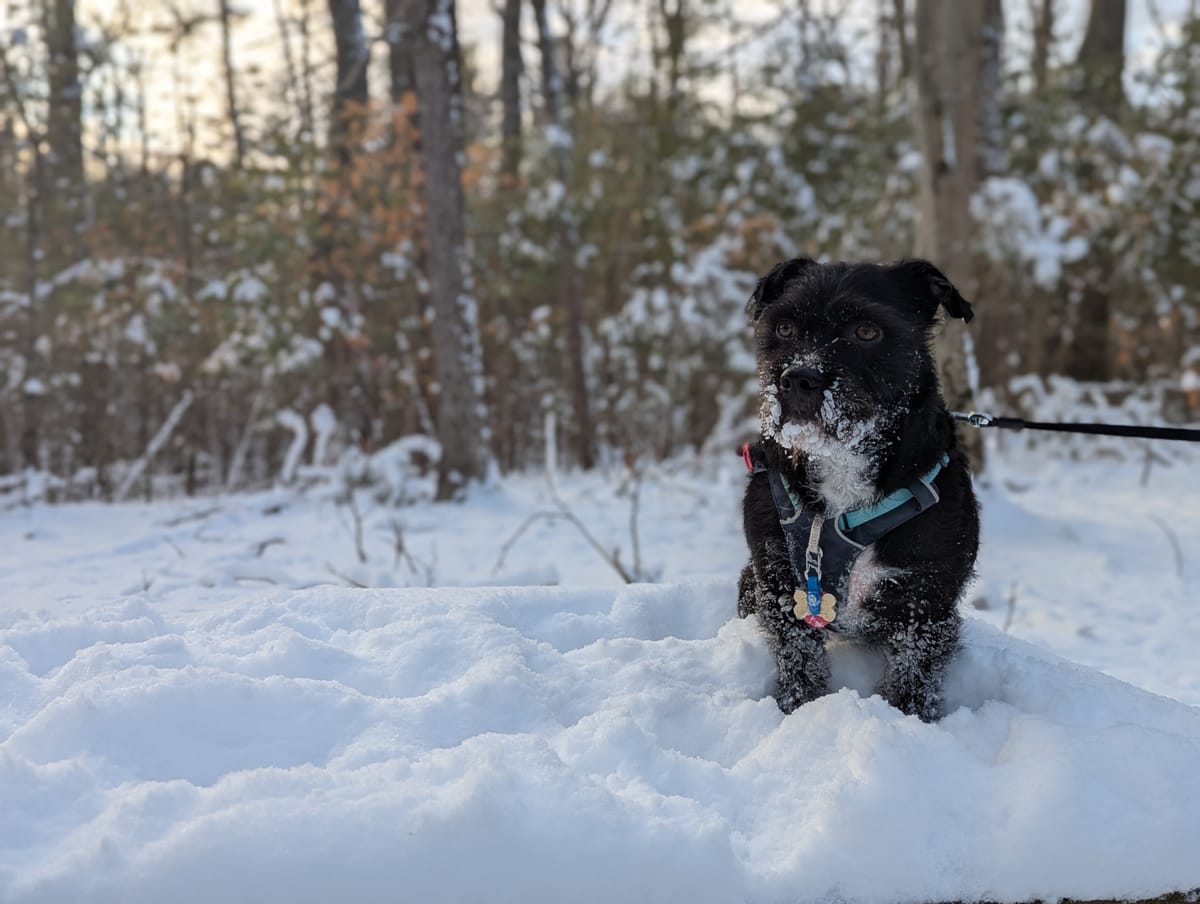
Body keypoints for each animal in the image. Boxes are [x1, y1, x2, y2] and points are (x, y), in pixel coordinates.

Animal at [734, 256, 979, 725]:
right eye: (785, 328)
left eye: (867, 332)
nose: (798, 378)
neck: (841, 466)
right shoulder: (779, 588)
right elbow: (799, 662)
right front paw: (797, 710)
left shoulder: (925, 607)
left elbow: (911, 678)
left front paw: (908, 723)